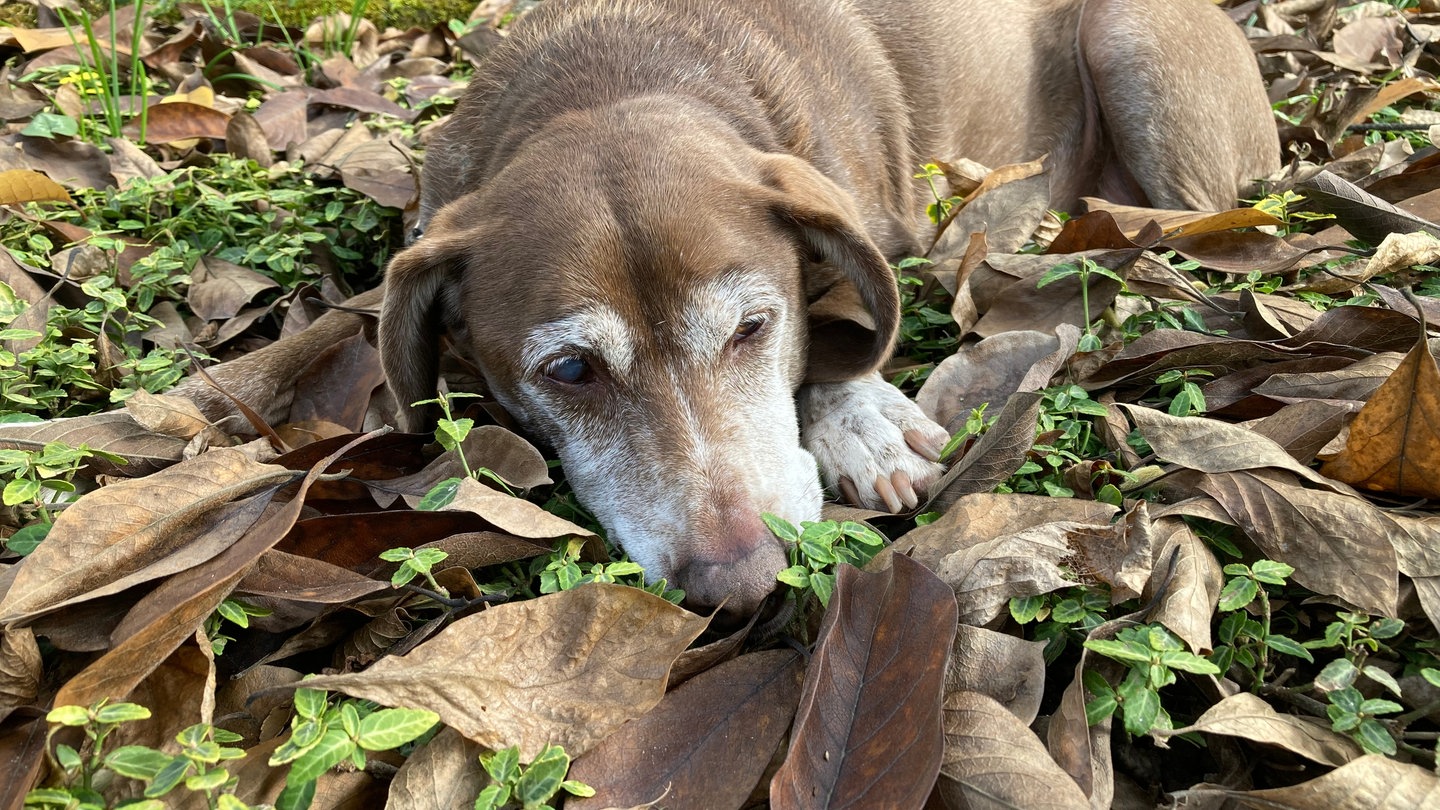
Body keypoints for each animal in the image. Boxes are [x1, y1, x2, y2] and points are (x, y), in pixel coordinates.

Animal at [177, 0, 1272, 619]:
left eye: (753, 328)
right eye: (569, 371)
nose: (743, 583)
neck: (616, 75)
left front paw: (858, 419)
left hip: (1136, 52)